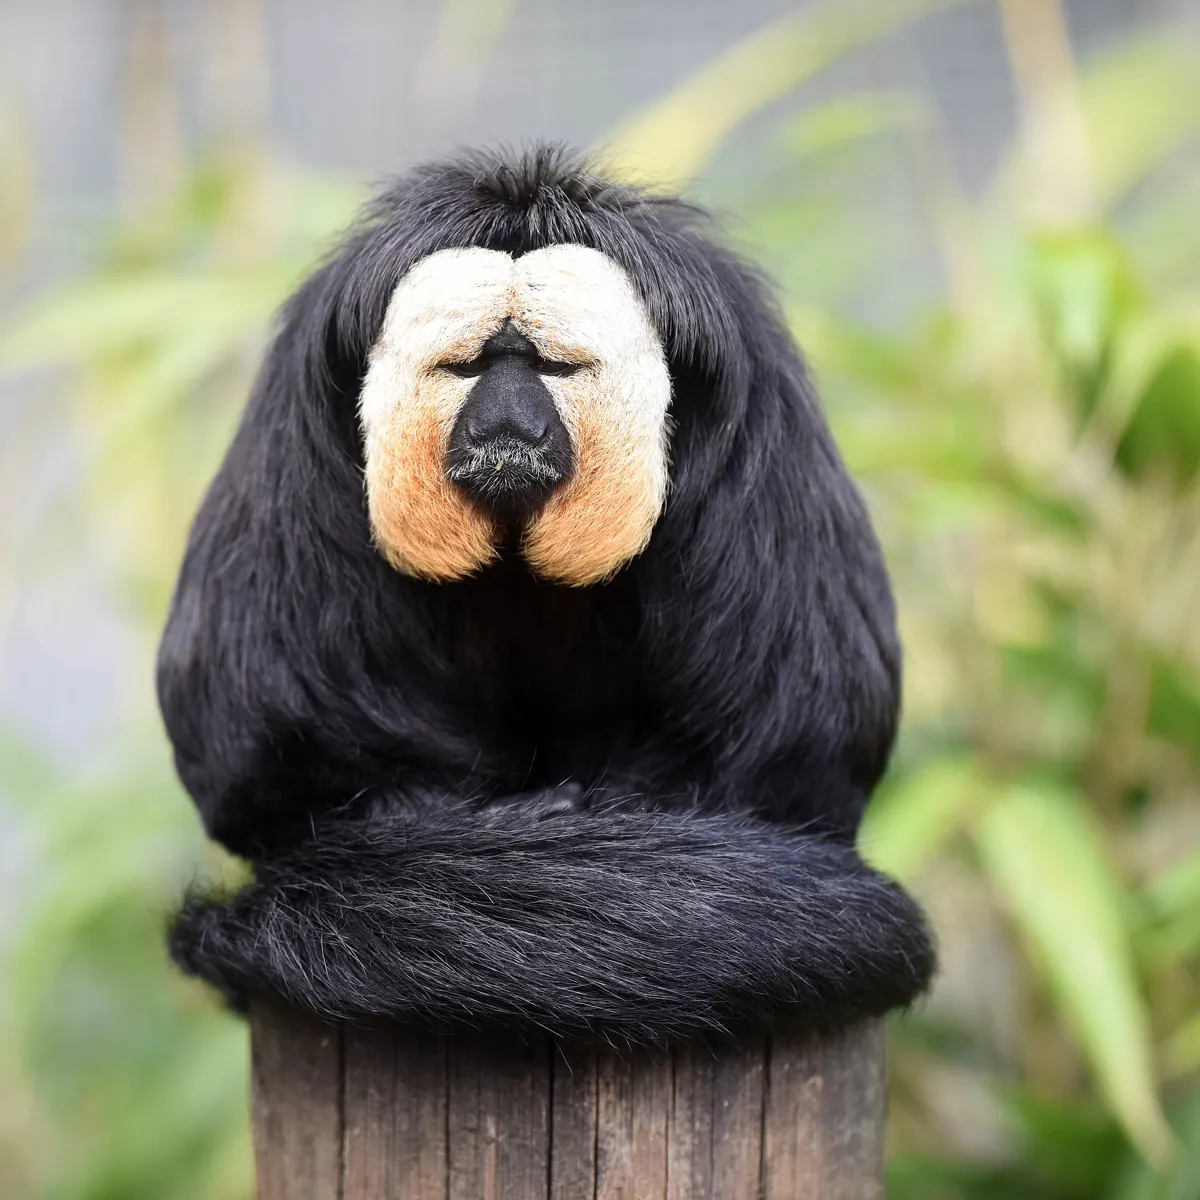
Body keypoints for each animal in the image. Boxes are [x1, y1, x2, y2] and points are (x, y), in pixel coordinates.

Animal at [162, 145, 933, 1041]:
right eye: (467, 368)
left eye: (551, 368)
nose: (509, 426)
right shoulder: (302, 429)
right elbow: (270, 755)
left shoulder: (754, 423)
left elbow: (794, 748)